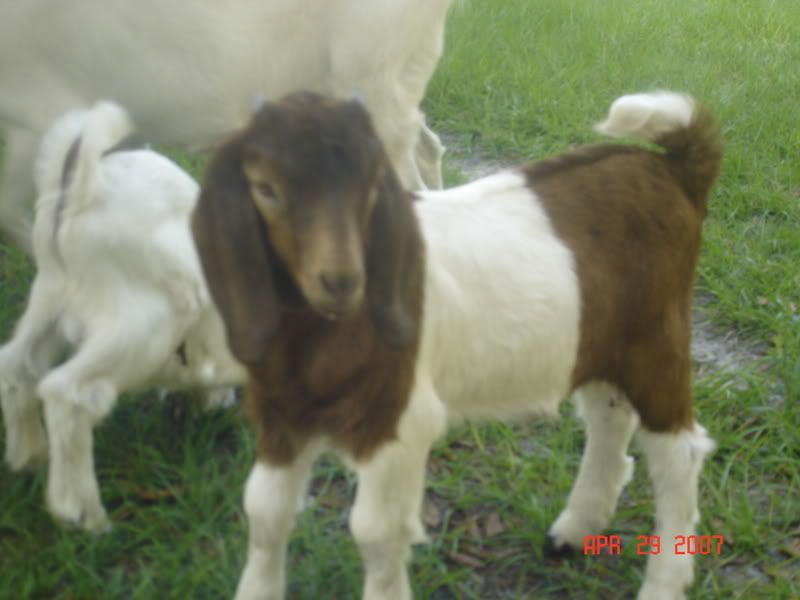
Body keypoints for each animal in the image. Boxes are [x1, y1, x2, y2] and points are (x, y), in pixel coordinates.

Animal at [0, 102, 245, 533]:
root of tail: (85, 193)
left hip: (49, 300)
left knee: (16, 365)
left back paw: (28, 456)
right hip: (143, 326)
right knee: (67, 393)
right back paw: (84, 515)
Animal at [192, 91, 722, 600]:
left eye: (370, 186)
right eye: (265, 188)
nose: (341, 281)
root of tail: (675, 169)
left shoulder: (399, 421)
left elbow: (375, 532)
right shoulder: (281, 415)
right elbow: (264, 511)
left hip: (657, 334)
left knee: (679, 454)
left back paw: (662, 585)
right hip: (598, 337)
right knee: (609, 419)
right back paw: (574, 529)